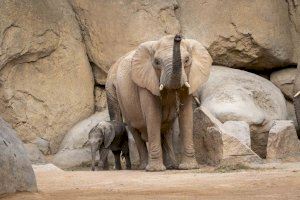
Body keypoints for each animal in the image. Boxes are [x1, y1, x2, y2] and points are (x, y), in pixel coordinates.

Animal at [106, 34, 212, 172]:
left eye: (187, 60)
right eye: (156, 62)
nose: (177, 37)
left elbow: (186, 115)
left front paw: (189, 167)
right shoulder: (145, 82)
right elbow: (153, 116)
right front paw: (155, 170)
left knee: (165, 131)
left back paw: (171, 166)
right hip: (117, 93)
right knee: (134, 130)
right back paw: (144, 166)